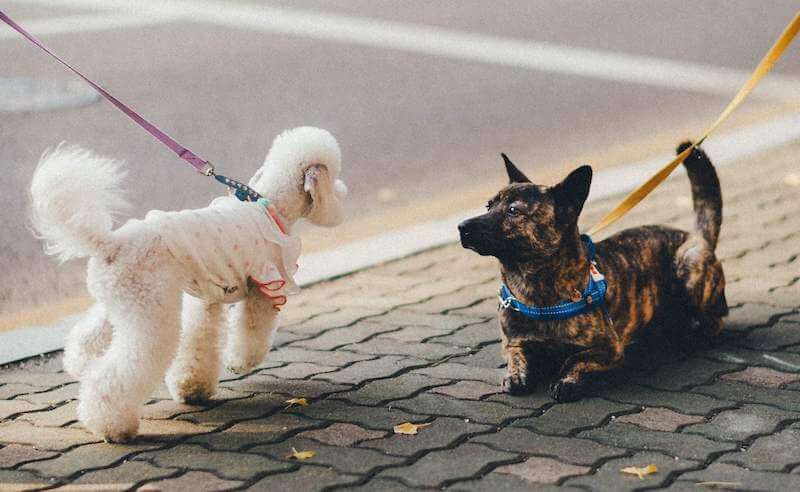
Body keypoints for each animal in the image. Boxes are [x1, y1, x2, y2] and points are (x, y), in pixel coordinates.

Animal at [456, 140, 724, 402]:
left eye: (513, 211)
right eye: (488, 205)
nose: (462, 226)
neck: (534, 286)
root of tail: (697, 236)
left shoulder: (610, 348)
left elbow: (575, 358)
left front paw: (566, 381)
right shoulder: (513, 343)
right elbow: (516, 356)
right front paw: (515, 375)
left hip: (689, 268)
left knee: (715, 321)